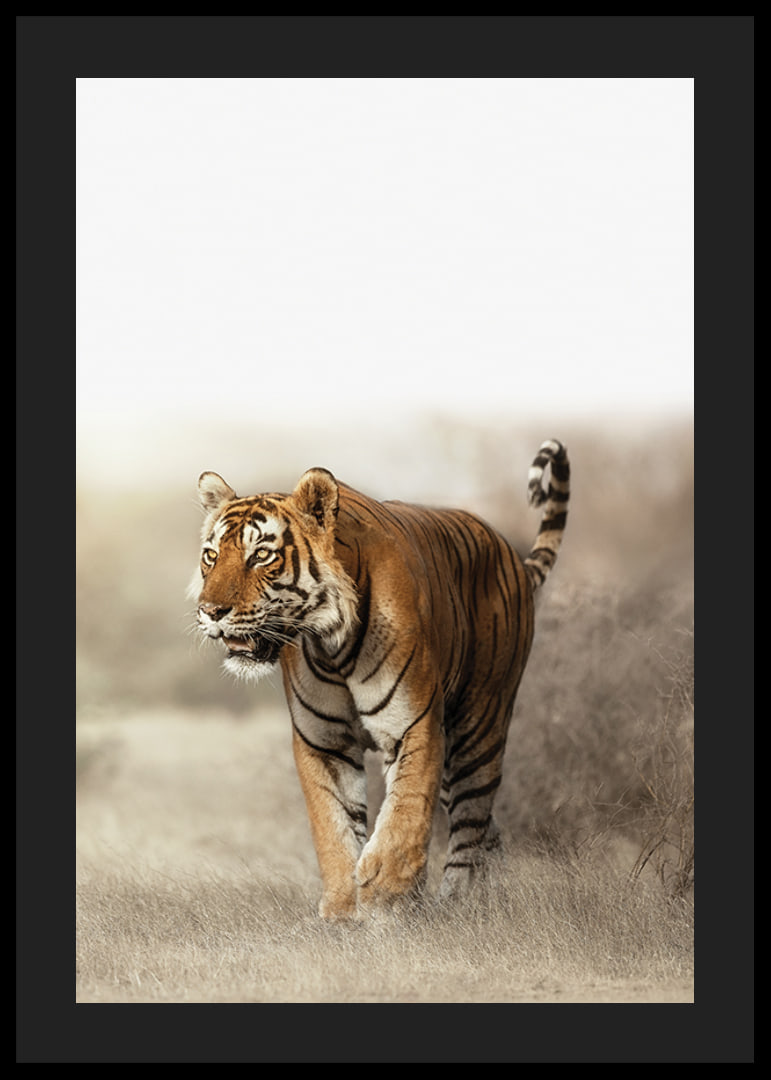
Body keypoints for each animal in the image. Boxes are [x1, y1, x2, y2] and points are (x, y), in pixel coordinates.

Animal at [190, 439, 570, 919]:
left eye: (261, 555)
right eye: (211, 555)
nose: (210, 611)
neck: (331, 644)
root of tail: (513, 558)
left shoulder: (414, 725)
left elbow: (405, 813)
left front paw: (385, 894)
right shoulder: (323, 741)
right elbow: (332, 826)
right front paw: (342, 909)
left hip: (478, 727)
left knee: (471, 822)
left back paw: (457, 902)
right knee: (487, 828)